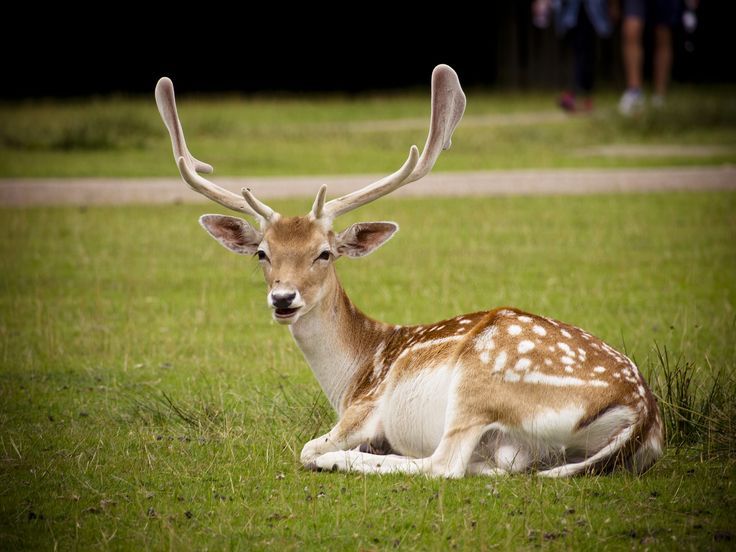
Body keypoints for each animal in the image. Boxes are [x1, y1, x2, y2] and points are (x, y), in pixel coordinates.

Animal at [154, 65, 664, 478]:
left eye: (325, 253)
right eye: (262, 253)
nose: (283, 298)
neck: (355, 371)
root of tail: (642, 414)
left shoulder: (365, 409)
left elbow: (308, 446)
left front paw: (341, 452)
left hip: (481, 382)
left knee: (444, 464)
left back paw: (350, 460)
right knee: (500, 465)